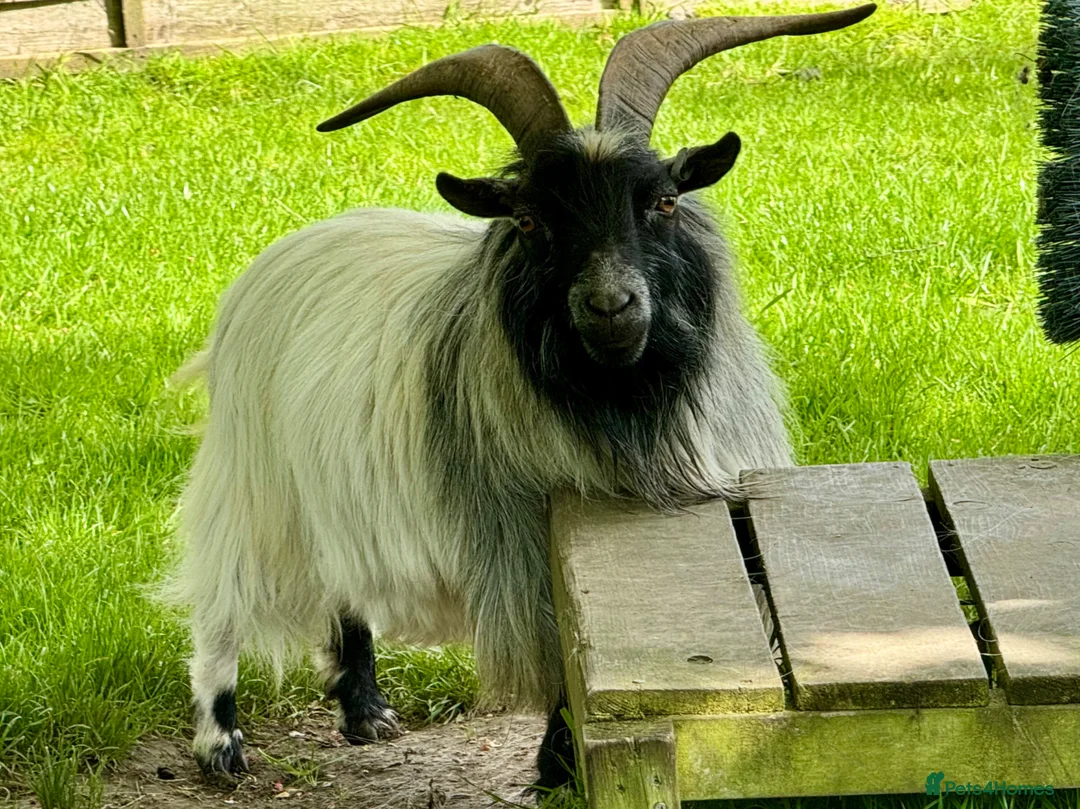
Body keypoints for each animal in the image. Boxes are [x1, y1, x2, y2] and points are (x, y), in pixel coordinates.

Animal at [171, 4, 876, 793]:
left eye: (664, 200)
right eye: (532, 220)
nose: (611, 306)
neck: (621, 400)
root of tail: (285, 252)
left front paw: (557, 764)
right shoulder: (522, 551)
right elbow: (558, 663)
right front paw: (555, 767)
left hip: (335, 493)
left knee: (344, 592)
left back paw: (365, 710)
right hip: (256, 484)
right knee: (219, 602)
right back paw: (220, 744)